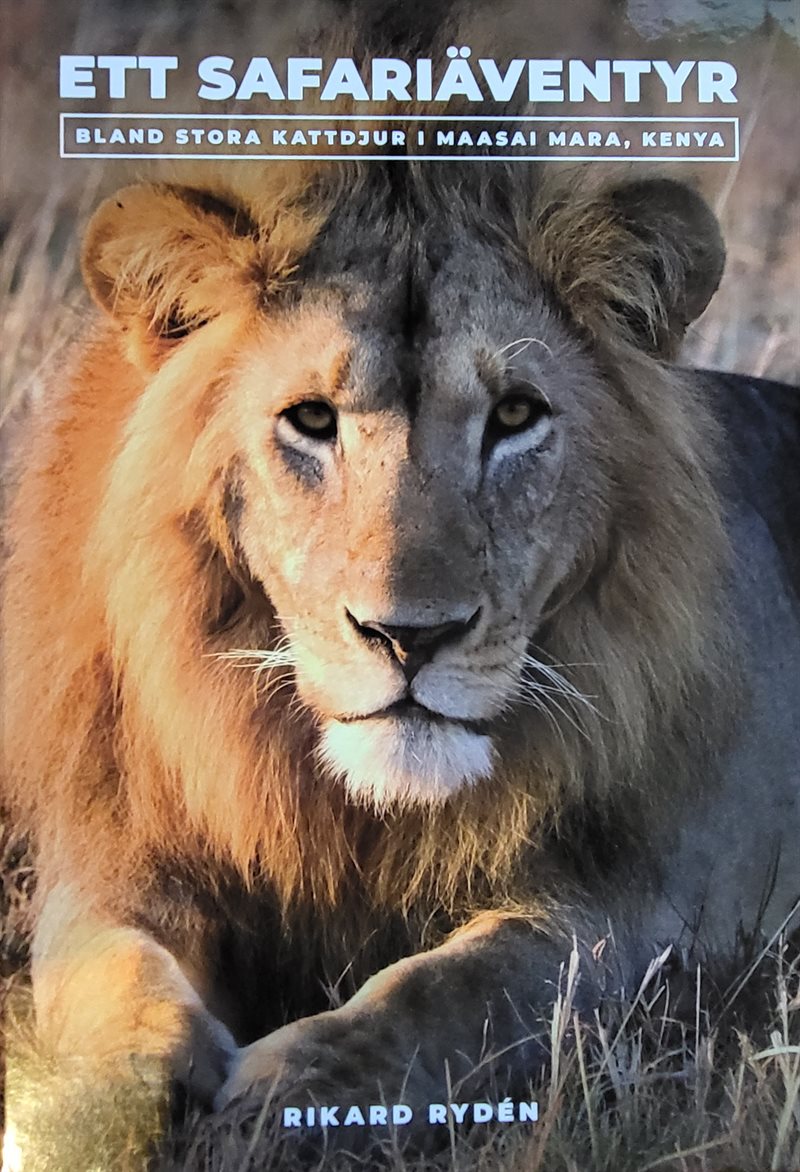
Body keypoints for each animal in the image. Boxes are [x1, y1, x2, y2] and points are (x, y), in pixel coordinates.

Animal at [1, 160, 800, 1157]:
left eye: (515, 415)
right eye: (311, 419)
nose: (410, 636)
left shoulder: (666, 914)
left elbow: (467, 984)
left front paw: (289, 1097)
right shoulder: (111, 863)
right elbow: (114, 983)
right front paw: (107, 1112)